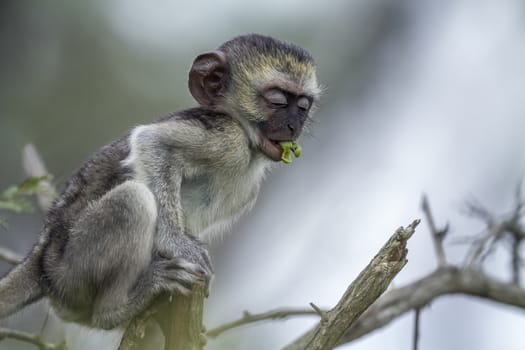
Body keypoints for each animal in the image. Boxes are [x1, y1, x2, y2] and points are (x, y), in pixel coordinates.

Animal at [0, 34, 320, 330]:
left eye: (303, 107)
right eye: (277, 101)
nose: (293, 126)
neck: (249, 147)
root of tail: (42, 259)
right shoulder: (226, 137)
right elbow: (152, 142)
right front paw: (178, 244)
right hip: (72, 272)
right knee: (133, 199)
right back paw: (115, 308)